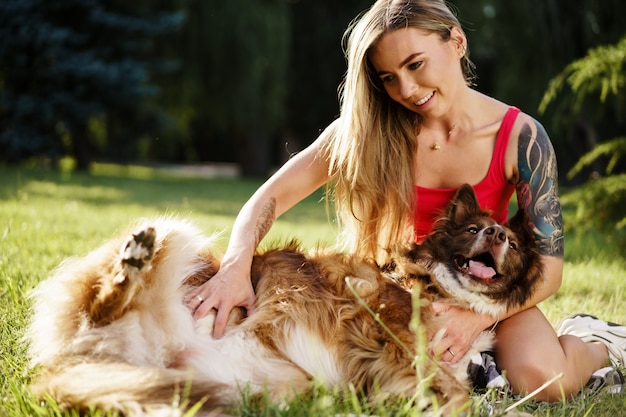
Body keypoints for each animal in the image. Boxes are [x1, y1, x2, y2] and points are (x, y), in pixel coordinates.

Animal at [24, 184, 540, 414]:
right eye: (472, 230)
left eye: (512, 244)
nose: (496, 234)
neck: (436, 286)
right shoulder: (390, 336)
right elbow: (458, 396)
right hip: (178, 231)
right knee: (103, 301)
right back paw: (132, 261)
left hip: (280, 385)